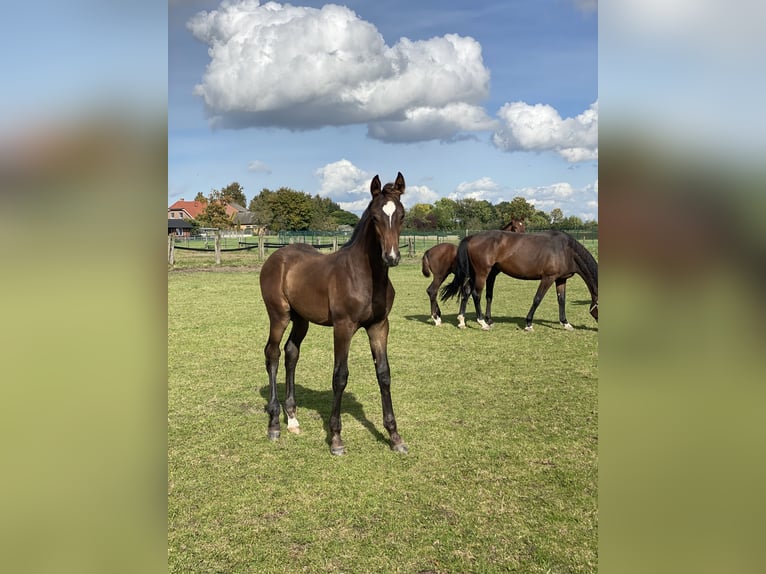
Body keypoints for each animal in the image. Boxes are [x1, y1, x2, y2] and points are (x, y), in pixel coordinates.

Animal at [260, 173, 412, 456]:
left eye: (402, 215)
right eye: (375, 217)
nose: (391, 257)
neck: (365, 275)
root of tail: (276, 256)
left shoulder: (379, 326)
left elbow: (384, 374)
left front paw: (395, 437)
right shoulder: (344, 326)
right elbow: (340, 376)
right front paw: (336, 439)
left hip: (301, 319)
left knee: (291, 352)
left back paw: (292, 419)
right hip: (279, 316)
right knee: (272, 354)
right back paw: (274, 424)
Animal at [444, 228, 600, 330]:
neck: (565, 250)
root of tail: (471, 237)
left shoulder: (561, 279)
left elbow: (561, 300)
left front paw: (565, 323)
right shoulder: (548, 278)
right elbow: (537, 299)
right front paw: (529, 323)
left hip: (475, 274)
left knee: (466, 292)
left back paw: (462, 321)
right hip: (482, 273)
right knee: (476, 294)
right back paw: (482, 323)